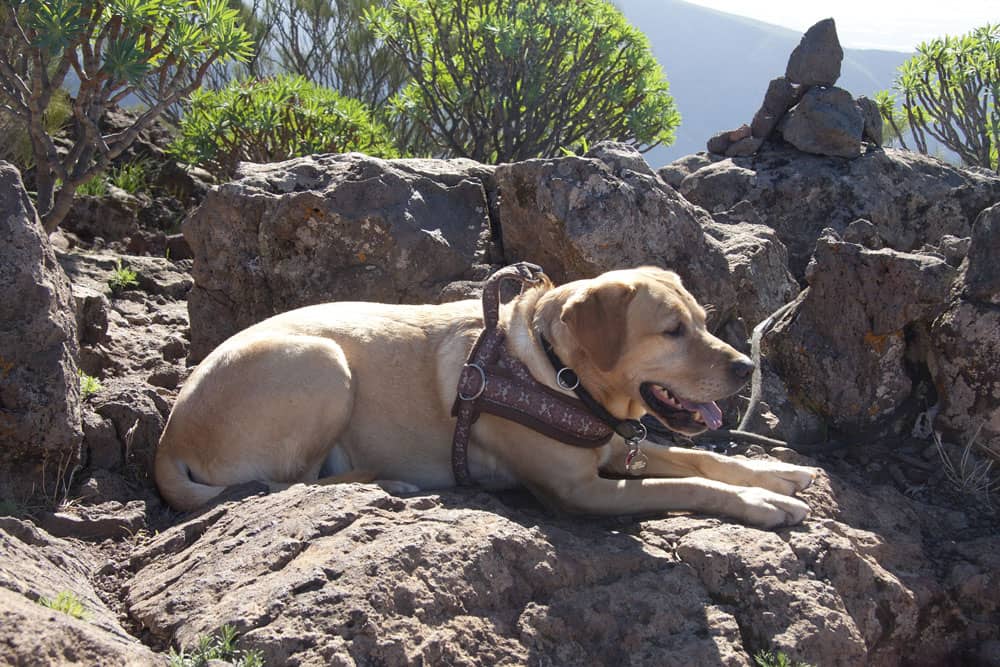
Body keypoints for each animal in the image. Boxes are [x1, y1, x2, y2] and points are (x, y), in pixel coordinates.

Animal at [154, 266, 812, 528]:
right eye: (672, 331)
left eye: (701, 320)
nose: (746, 367)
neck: (557, 372)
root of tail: (167, 438)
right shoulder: (578, 493)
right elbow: (691, 484)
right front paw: (762, 501)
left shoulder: (611, 447)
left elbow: (700, 457)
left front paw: (773, 474)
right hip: (323, 364)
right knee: (290, 482)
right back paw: (390, 482)